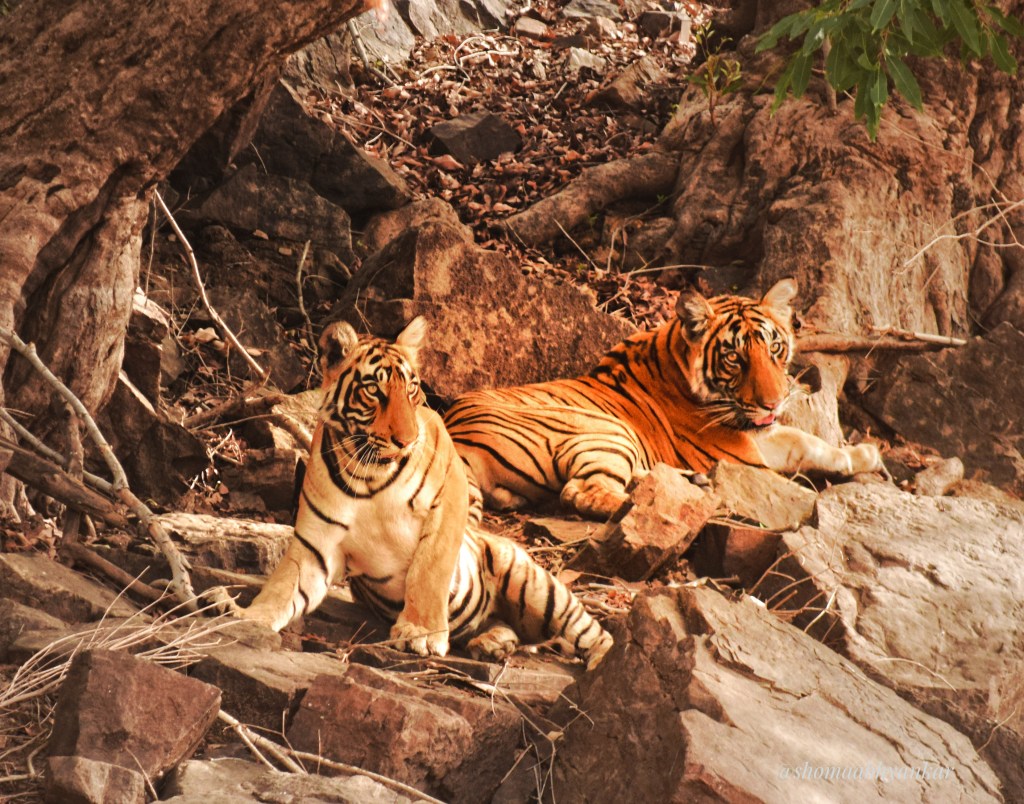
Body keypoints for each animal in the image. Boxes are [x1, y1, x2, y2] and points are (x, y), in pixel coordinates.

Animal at [220, 316, 612, 669]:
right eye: (374, 391)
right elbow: (284, 585)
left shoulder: (452, 496)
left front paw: (420, 633)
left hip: (538, 588)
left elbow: (429, 569)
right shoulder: (318, 540)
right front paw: (248, 616)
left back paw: (603, 663)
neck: (372, 475)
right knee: (505, 625)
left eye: (411, 389)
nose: (406, 440)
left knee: (591, 632)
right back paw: (491, 644)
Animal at [444, 278, 883, 520]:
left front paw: (866, 455)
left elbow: (809, 442)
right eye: (735, 357)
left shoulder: (760, 434)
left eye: (774, 348)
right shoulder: (742, 455)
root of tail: (453, 437)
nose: (774, 404)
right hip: (605, 430)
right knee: (580, 493)